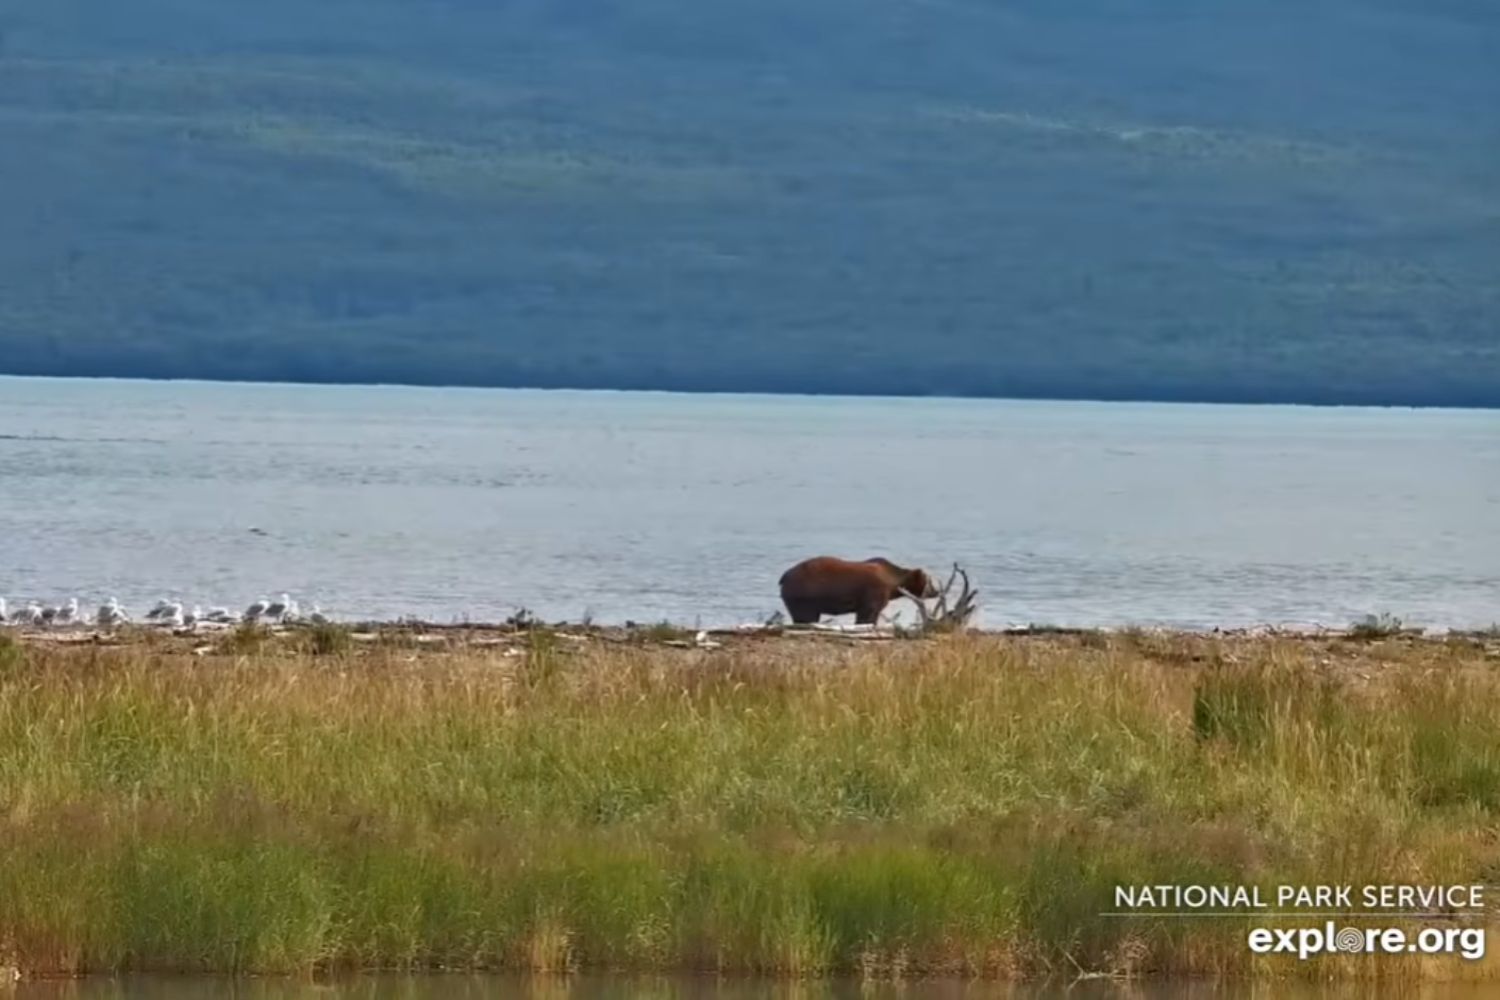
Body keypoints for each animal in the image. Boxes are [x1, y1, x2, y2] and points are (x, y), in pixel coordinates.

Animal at [778, 555, 939, 625]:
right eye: (929, 581)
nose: (936, 591)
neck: (892, 582)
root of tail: (785, 575)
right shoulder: (873, 592)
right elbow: (867, 613)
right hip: (805, 594)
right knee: (805, 616)